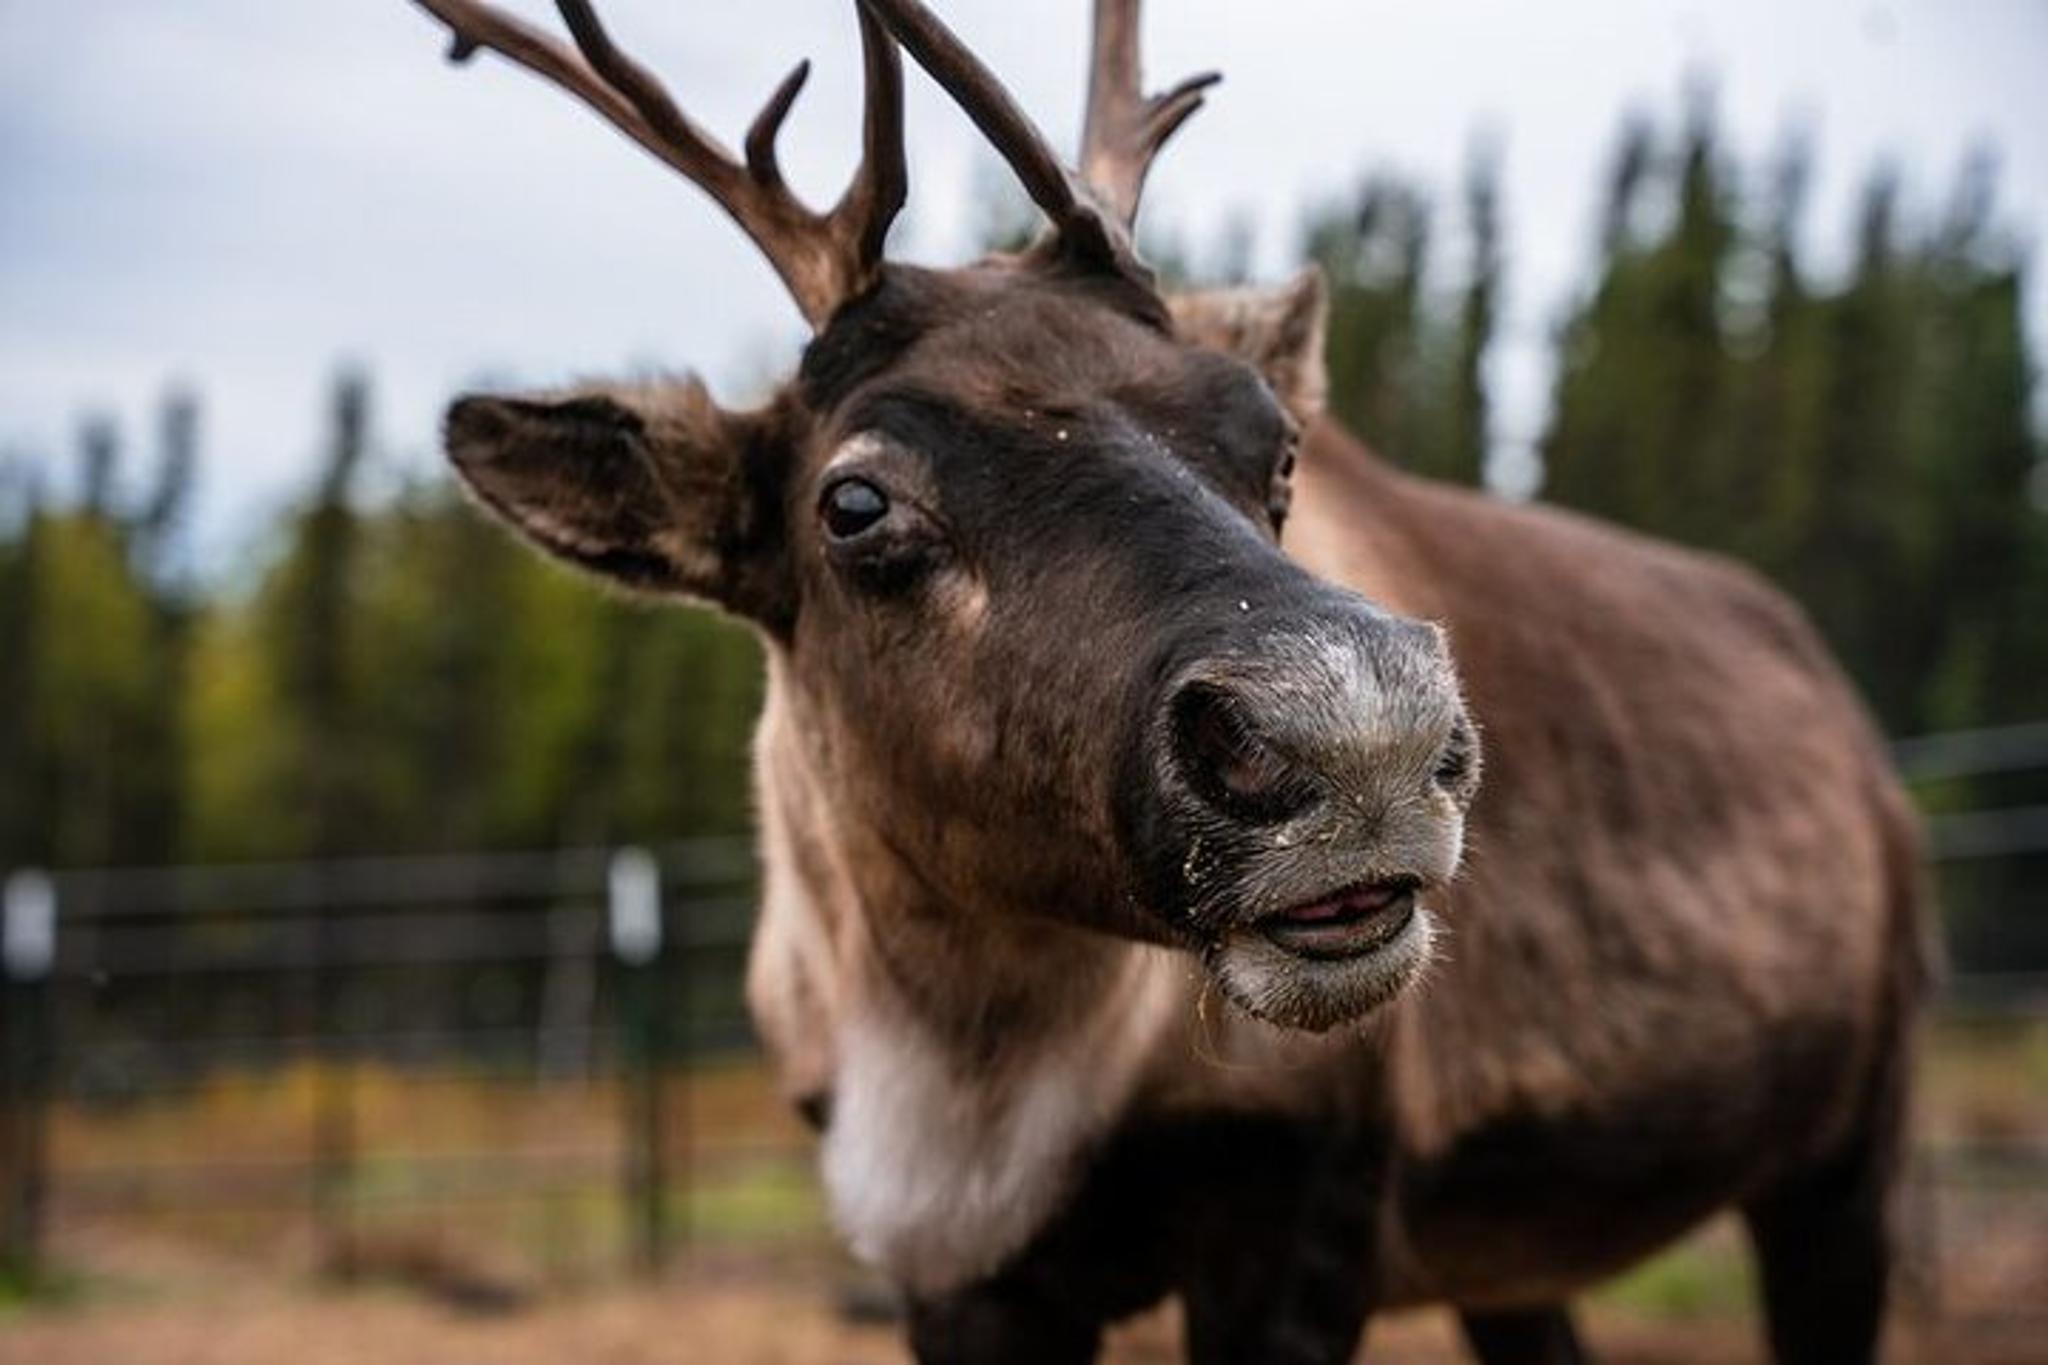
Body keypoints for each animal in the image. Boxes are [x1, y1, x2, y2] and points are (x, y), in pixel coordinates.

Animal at [406, 3, 1934, 1362]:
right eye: (853, 503)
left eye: (1277, 448)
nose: (1361, 733)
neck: (959, 1073)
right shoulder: (947, 1278)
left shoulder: (1299, 1215)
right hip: (1515, 1250)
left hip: (1845, 1151)